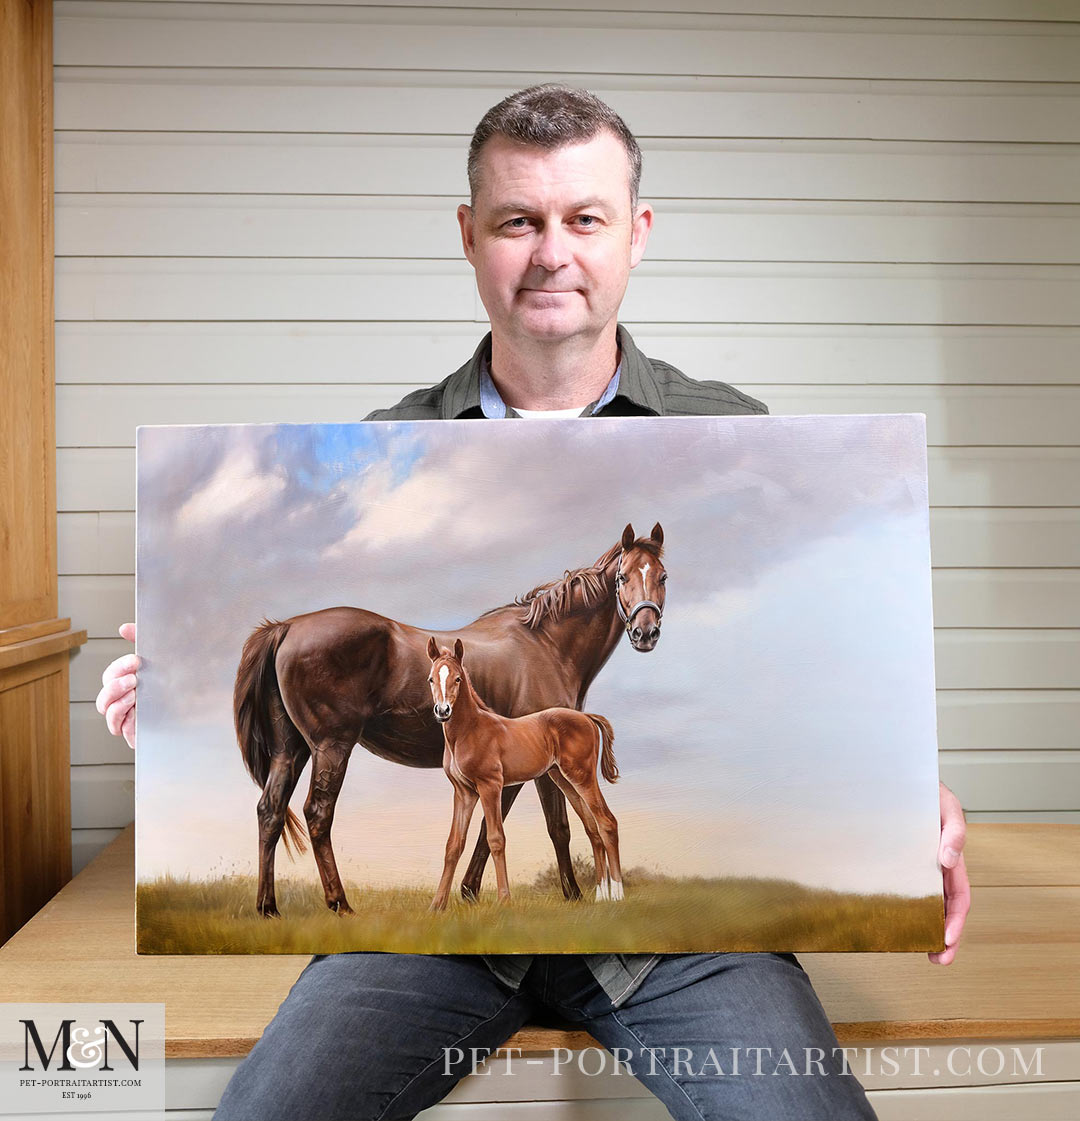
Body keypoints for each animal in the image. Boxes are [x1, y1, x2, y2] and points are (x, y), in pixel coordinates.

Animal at [426, 636, 619, 905]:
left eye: (458, 679)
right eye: (431, 679)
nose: (442, 711)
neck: (469, 730)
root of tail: (587, 717)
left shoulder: (490, 786)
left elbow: (495, 839)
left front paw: (504, 901)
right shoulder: (464, 792)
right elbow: (453, 845)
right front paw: (437, 905)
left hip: (583, 776)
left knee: (607, 822)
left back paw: (618, 895)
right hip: (563, 779)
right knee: (593, 829)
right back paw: (601, 897)